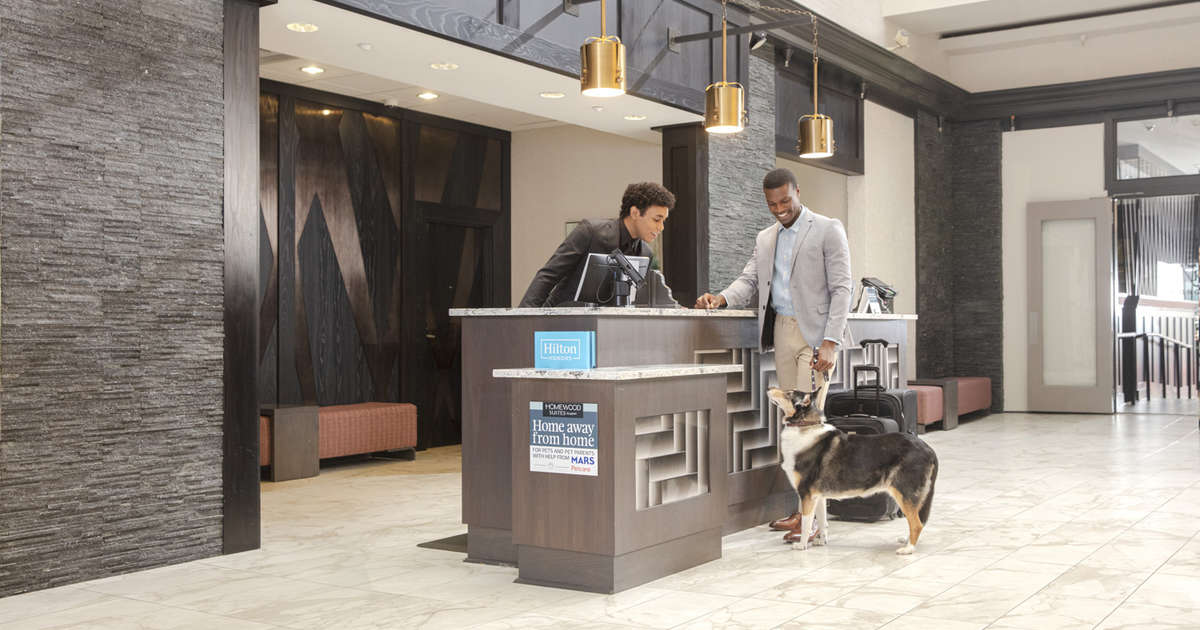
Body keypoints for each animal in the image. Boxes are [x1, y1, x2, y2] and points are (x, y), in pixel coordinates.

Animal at [767, 387, 938, 555]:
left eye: (788, 393)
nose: (769, 388)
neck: (804, 425)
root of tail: (929, 449)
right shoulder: (818, 496)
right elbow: (822, 521)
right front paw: (822, 541)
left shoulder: (806, 493)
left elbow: (806, 523)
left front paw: (801, 545)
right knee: (917, 520)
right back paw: (906, 540)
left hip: (904, 492)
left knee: (917, 523)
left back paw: (908, 549)